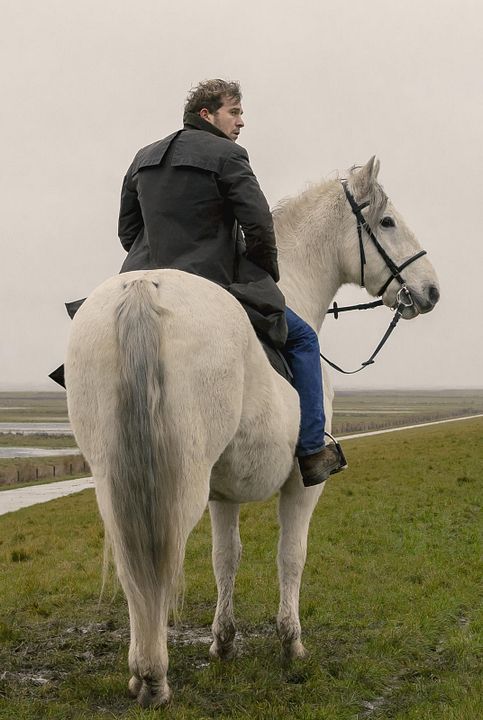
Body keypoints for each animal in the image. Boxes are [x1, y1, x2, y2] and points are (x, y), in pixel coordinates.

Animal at [65, 157, 439, 707]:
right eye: (388, 222)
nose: (431, 289)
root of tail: (143, 290)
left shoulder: (224, 494)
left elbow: (227, 558)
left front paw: (223, 643)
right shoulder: (301, 487)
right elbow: (291, 556)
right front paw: (291, 642)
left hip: (114, 480)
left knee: (134, 566)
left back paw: (139, 671)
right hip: (179, 482)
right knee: (159, 559)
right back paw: (154, 675)